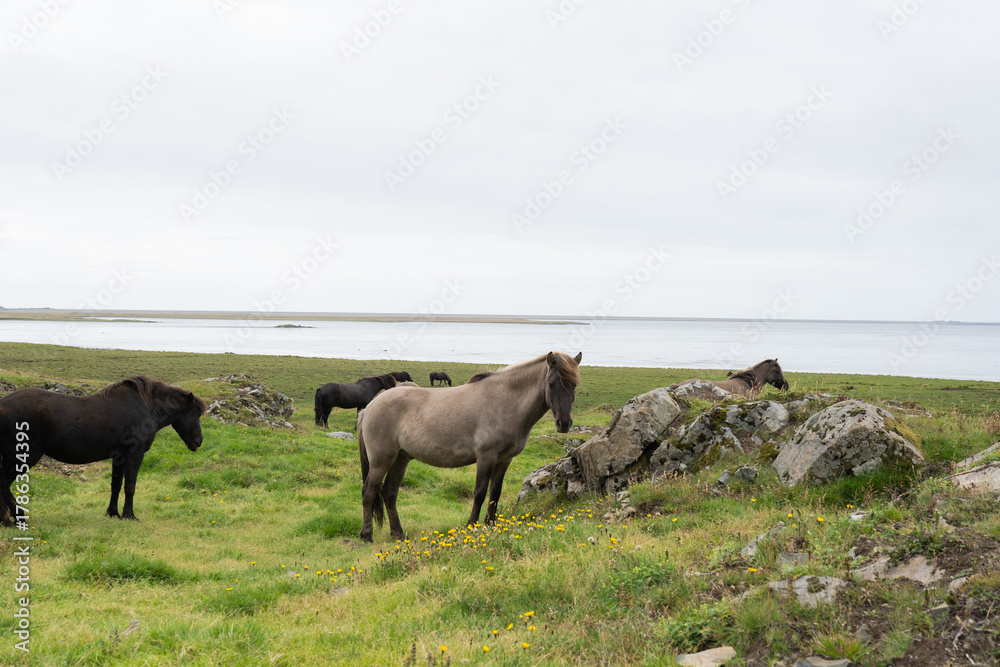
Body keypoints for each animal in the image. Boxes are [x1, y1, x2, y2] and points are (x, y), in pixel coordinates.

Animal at [0, 376, 207, 524]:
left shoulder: (119, 457)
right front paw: (129, 515)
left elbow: (116, 485)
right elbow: (130, 486)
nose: (199, 440)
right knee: (3, 484)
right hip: (23, 458)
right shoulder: (135, 455)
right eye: (196, 414)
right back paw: (18, 517)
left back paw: (6, 520)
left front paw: (113, 513)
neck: (145, 407)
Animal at [358, 351, 582, 542]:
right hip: (381, 461)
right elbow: (480, 492)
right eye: (551, 384)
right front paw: (471, 526)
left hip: (401, 458)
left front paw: (490, 524)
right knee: (369, 492)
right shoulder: (486, 457)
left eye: (574, 385)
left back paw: (398, 533)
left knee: (389, 493)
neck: (504, 402)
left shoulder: (504, 460)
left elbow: (495, 493)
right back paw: (366, 535)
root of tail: (370, 406)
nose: (564, 423)